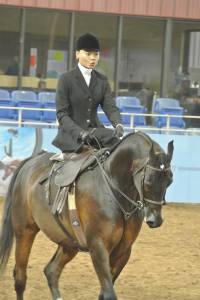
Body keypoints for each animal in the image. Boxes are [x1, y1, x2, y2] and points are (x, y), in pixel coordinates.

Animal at [0, 132, 173, 300]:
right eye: (148, 180)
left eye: (169, 180)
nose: (155, 219)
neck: (112, 189)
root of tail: (31, 161)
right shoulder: (98, 246)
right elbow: (109, 293)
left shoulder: (123, 251)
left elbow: (104, 292)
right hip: (25, 232)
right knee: (20, 278)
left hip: (69, 243)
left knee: (51, 271)